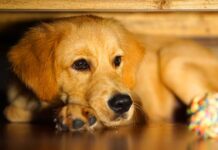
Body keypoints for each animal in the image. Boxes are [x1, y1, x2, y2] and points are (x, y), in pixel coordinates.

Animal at [3, 14, 218, 131]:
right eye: (80, 64)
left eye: (117, 60)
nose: (123, 103)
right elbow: (12, 111)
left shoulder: (138, 111)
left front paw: (75, 113)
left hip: (172, 61)